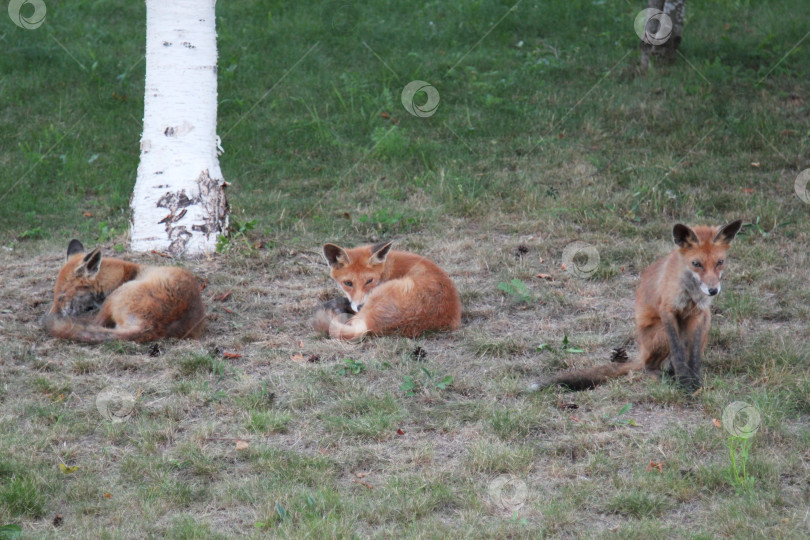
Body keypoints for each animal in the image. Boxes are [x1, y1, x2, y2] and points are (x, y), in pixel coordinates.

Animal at [43, 239, 205, 342]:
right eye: (55, 295)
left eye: (62, 296)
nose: (50, 315)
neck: (119, 276)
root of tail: (151, 327)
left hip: (117, 296)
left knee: (96, 322)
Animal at [528, 219, 740, 392]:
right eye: (696, 263)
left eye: (720, 262)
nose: (713, 290)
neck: (690, 292)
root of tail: (641, 351)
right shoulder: (667, 310)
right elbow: (679, 355)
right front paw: (684, 384)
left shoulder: (699, 314)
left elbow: (694, 357)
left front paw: (695, 383)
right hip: (661, 332)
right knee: (649, 366)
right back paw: (663, 378)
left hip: (705, 325)